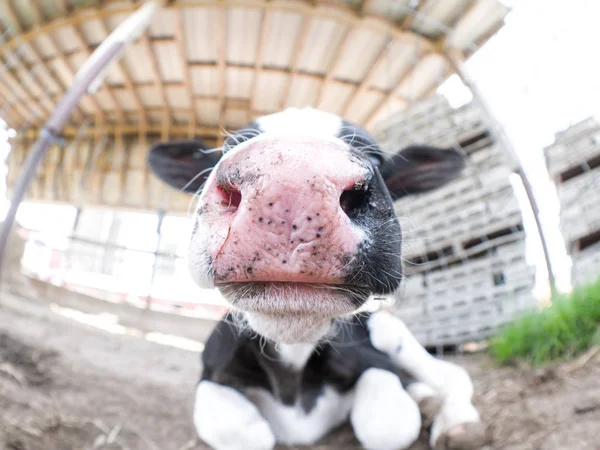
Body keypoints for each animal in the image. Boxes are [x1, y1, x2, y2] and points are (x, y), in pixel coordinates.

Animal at [149, 109, 488, 450]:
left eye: (376, 158)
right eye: (228, 146)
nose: (293, 183)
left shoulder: (375, 362)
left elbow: (388, 424)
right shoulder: (210, 371)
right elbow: (245, 431)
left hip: (388, 328)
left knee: (451, 375)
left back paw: (457, 423)